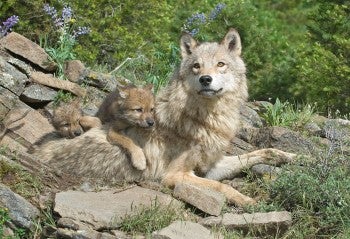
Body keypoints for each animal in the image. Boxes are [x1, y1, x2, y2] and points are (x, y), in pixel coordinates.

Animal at [33, 29, 296, 206]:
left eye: (220, 64)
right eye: (196, 66)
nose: (206, 79)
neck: (204, 119)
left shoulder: (210, 166)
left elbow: (259, 153)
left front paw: (290, 156)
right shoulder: (176, 175)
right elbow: (222, 187)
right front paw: (248, 201)